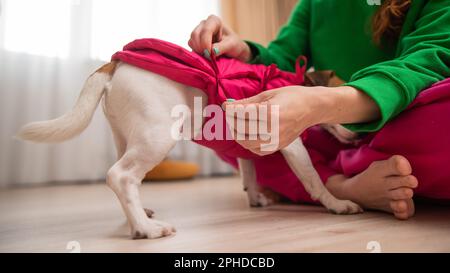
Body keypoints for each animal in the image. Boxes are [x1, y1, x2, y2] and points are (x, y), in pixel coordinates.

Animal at [16, 60, 362, 238]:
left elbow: (248, 172)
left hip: (127, 137)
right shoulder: (290, 143)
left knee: (126, 180)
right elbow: (313, 179)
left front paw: (255, 198)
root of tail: (114, 64)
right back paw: (146, 230)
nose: (361, 135)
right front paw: (337, 204)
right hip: (157, 137)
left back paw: (138, 217)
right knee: (120, 176)